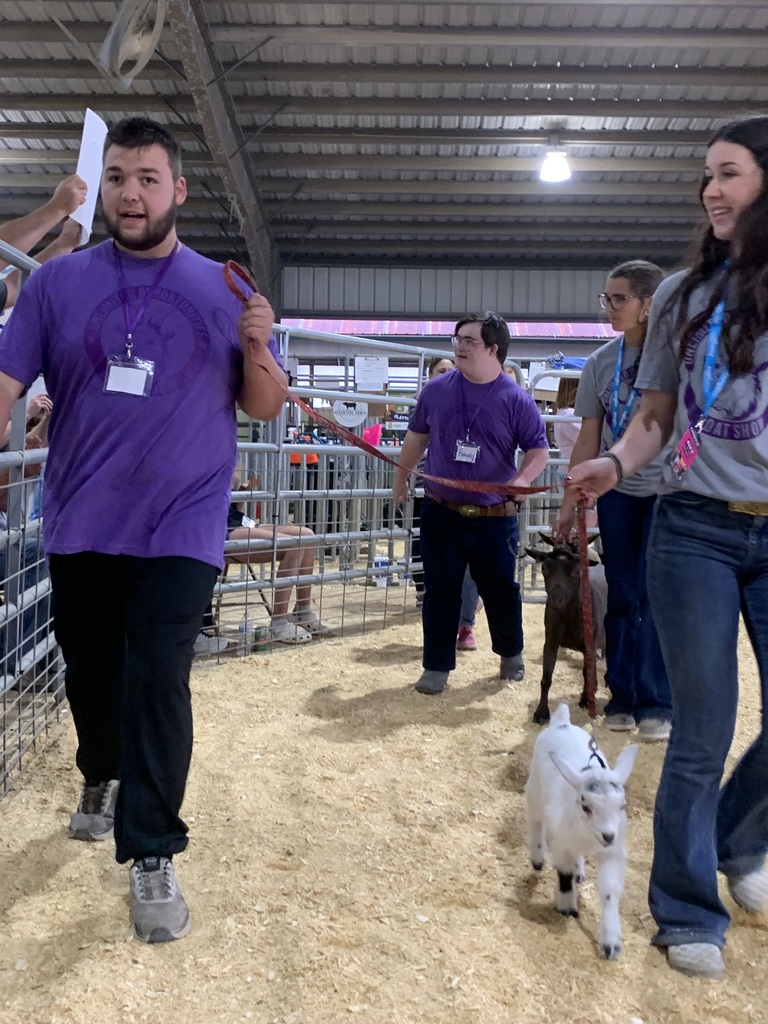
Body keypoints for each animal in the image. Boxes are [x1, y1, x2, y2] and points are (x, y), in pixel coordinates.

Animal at [524, 534, 607, 725]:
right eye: (544, 568)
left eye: (577, 571)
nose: (557, 599)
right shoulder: (550, 641)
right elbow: (546, 678)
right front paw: (541, 712)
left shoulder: (589, 645)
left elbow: (587, 673)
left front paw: (585, 700)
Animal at [524, 703, 638, 960]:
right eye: (586, 806)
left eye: (622, 806)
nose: (608, 835)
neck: (589, 837)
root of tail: (562, 722)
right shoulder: (561, 846)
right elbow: (564, 875)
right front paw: (566, 907)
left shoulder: (612, 853)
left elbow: (609, 892)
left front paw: (611, 944)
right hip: (534, 788)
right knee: (535, 820)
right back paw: (537, 857)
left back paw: (580, 871)